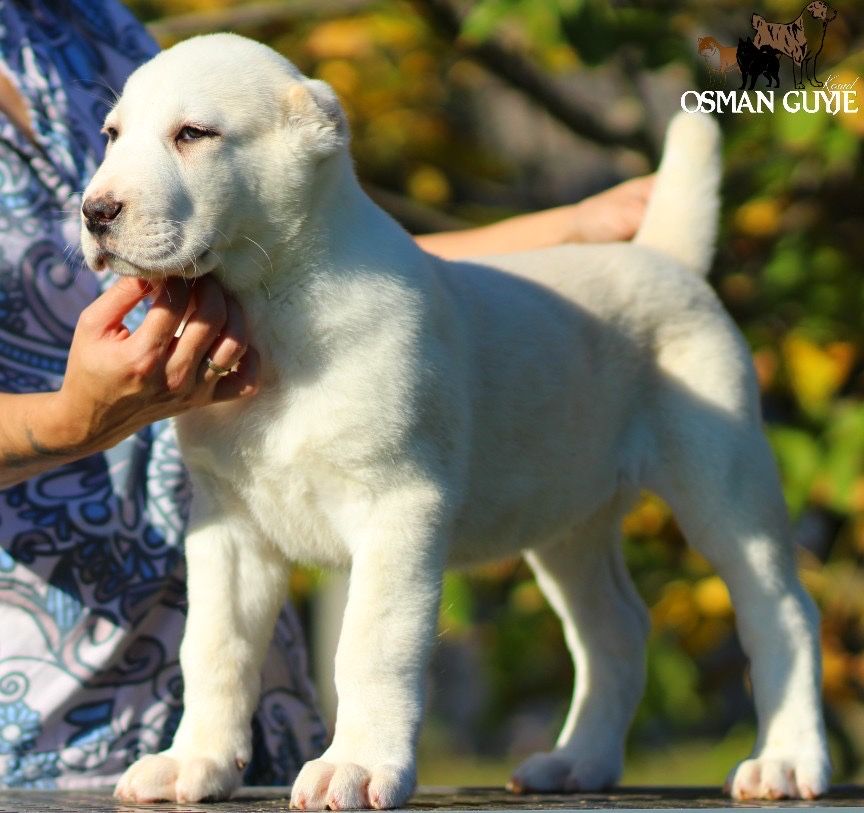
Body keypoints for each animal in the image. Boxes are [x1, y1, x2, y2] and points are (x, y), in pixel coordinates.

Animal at [81, 35, 832, 808]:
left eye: (193, 134)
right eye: (111, 136)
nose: (94, 211)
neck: (276, 304)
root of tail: (660, 255)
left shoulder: (397, 506)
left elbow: (370, 646)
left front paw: (355, 765)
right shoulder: (227, 524)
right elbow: (214, 647)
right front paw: (194, 761)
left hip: (724, 482)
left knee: (781, 613)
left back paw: (784, 761)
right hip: (569, 518)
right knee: (615, 631)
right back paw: (577, 762)